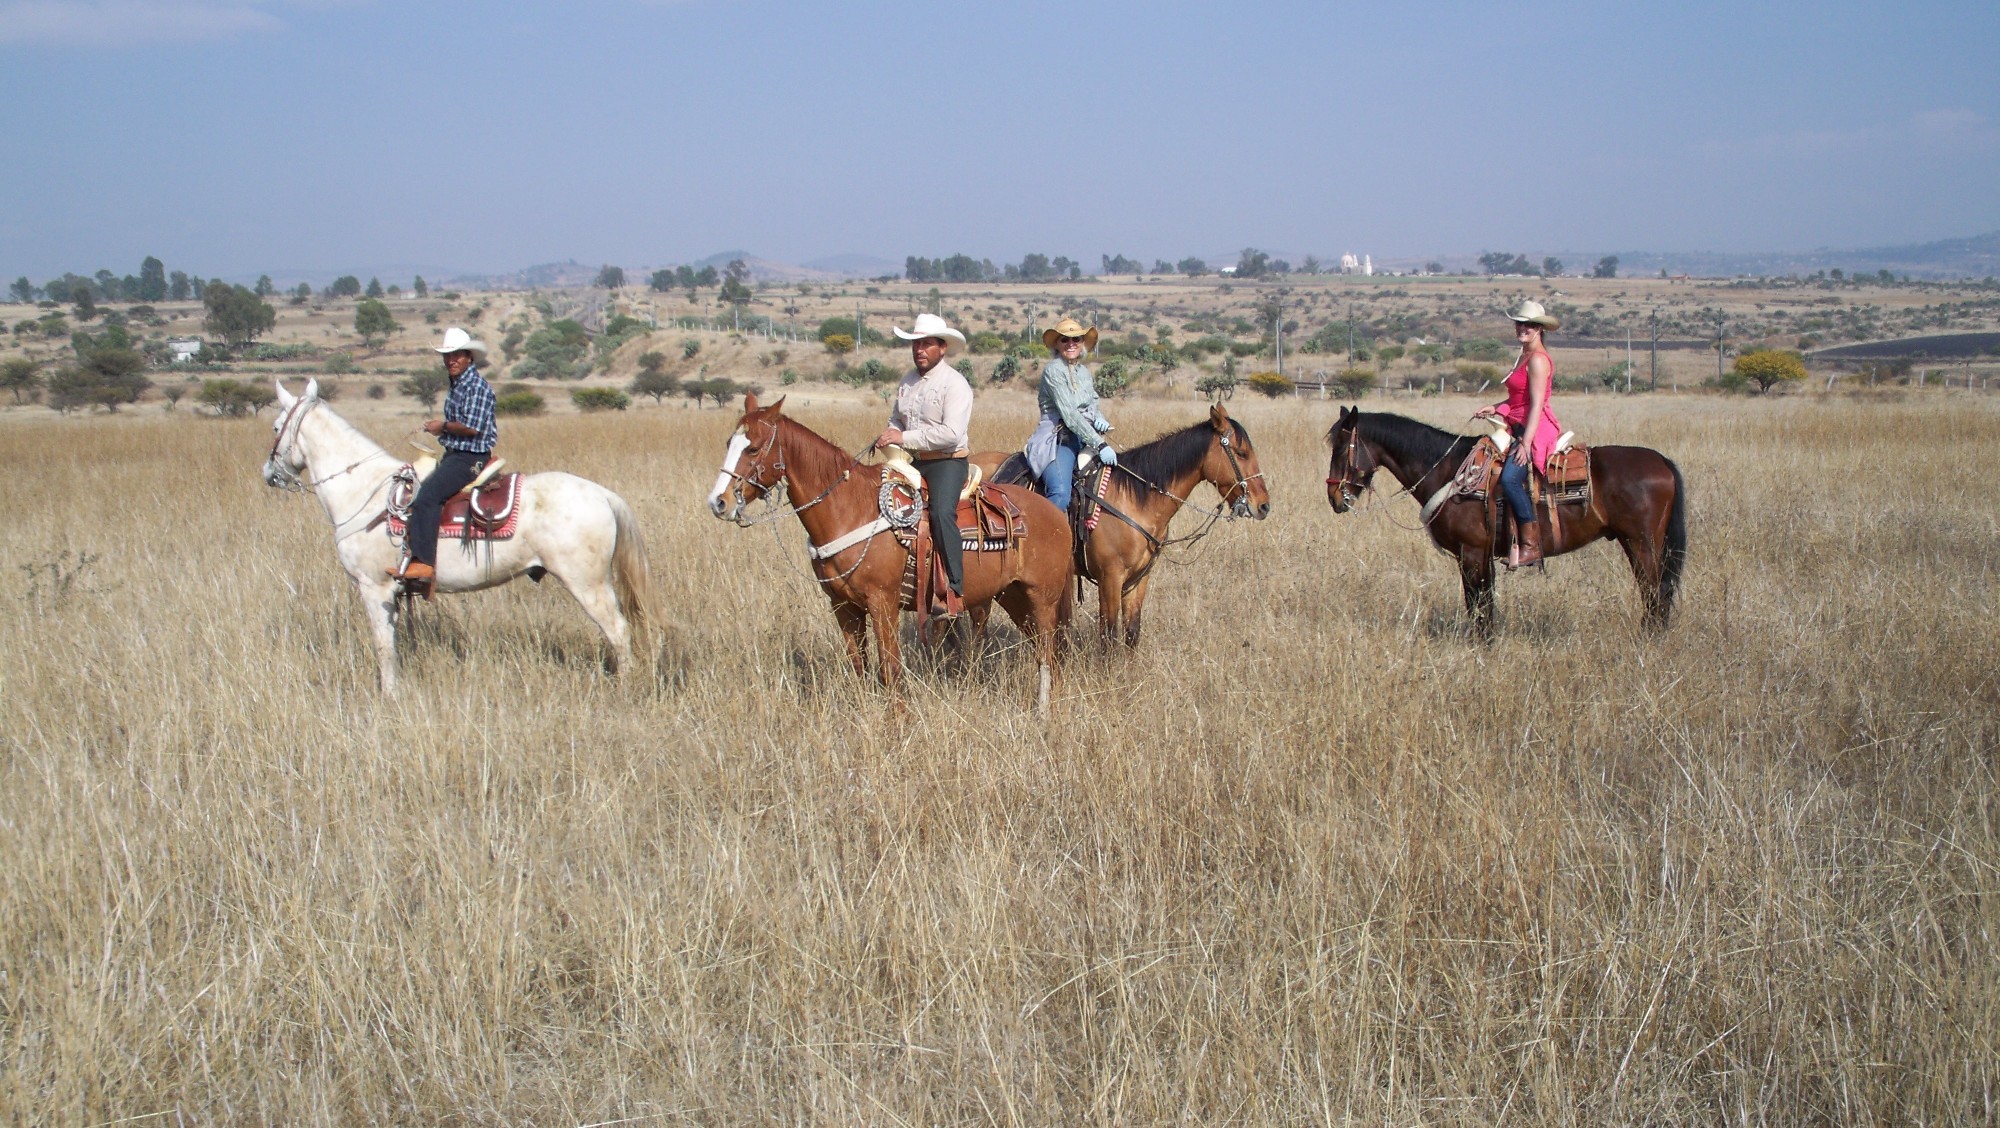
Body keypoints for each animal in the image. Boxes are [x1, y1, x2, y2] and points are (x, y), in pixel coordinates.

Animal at [262, 378, 652, 692]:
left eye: (277, 425)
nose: (269, 474)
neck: (366, 491)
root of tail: (603, 494)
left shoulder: (374, 587)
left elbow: (383, 646)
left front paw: (389, 694)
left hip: (587, 584)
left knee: (618, 630)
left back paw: (625, 688)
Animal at [708, 396, 1080, 708]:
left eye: (754, 448)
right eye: (728, 444)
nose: (718, 502)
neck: (850, 508)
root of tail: (1054, 512)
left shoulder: (882, 603)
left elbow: (890, 669)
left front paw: (897, 723)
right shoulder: (843, 607)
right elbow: (859, 667)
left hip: (1043, 596)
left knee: (1049, 651)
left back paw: (1045, 711)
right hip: (1013, 595)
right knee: (1044, 650)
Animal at [972, 410, 1280, 648]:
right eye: (1241, 452)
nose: (1263, 506)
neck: (1134, 498)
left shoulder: (1138, 579)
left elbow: (1132, 632)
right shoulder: (1110, 578)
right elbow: (1109, 635)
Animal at [1328, 408, 1688, 640]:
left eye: (1342, 448)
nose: (1334, 497)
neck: (1450, 471)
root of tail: (1662, 462)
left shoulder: (1471, 552)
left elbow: (1477, 604)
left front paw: (1481, 646)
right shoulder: (1481, 554)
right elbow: (1484, 603)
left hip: (1642, 543)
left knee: (1655, 592)